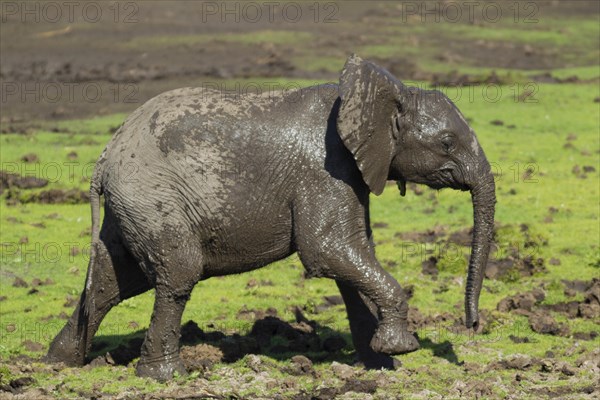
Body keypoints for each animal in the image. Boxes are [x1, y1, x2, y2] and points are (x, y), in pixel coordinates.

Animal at [45, 54, 496, 382]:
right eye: (447, 143)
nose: (473, 324)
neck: (371, 94)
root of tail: (106, 156)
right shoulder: (326, 169)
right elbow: (327, 251)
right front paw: (401, 348)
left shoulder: (351, 174)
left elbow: (355, 255)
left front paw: (383, 364)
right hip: (153, 195)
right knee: (176, 274)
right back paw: (166, 376)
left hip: (134, 204)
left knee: (112, 279)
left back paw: (61, 361)